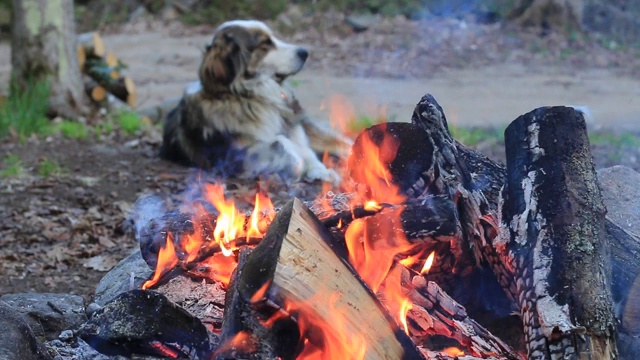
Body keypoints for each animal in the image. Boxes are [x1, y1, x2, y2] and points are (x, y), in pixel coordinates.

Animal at [159, 19, 350, 183]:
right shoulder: (236, 158)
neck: (253, 97)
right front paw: (299, 166)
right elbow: (283, 142)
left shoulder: (294, 128)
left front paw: (320, 170)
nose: (305, 52)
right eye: (265, 44)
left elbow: (303, 148)